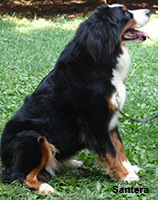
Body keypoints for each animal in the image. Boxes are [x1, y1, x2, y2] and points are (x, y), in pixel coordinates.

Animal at [0, 3, 150, 195]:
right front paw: (125, 176)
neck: (102, 60)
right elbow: (111, 151)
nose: (149, 11)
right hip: (32, 136)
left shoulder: (110, 119)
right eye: (125, 14)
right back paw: (44, 186)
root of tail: (5, 162)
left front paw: (129, 168)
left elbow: (119, 147)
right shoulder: (95, 122)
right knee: (21, 175)